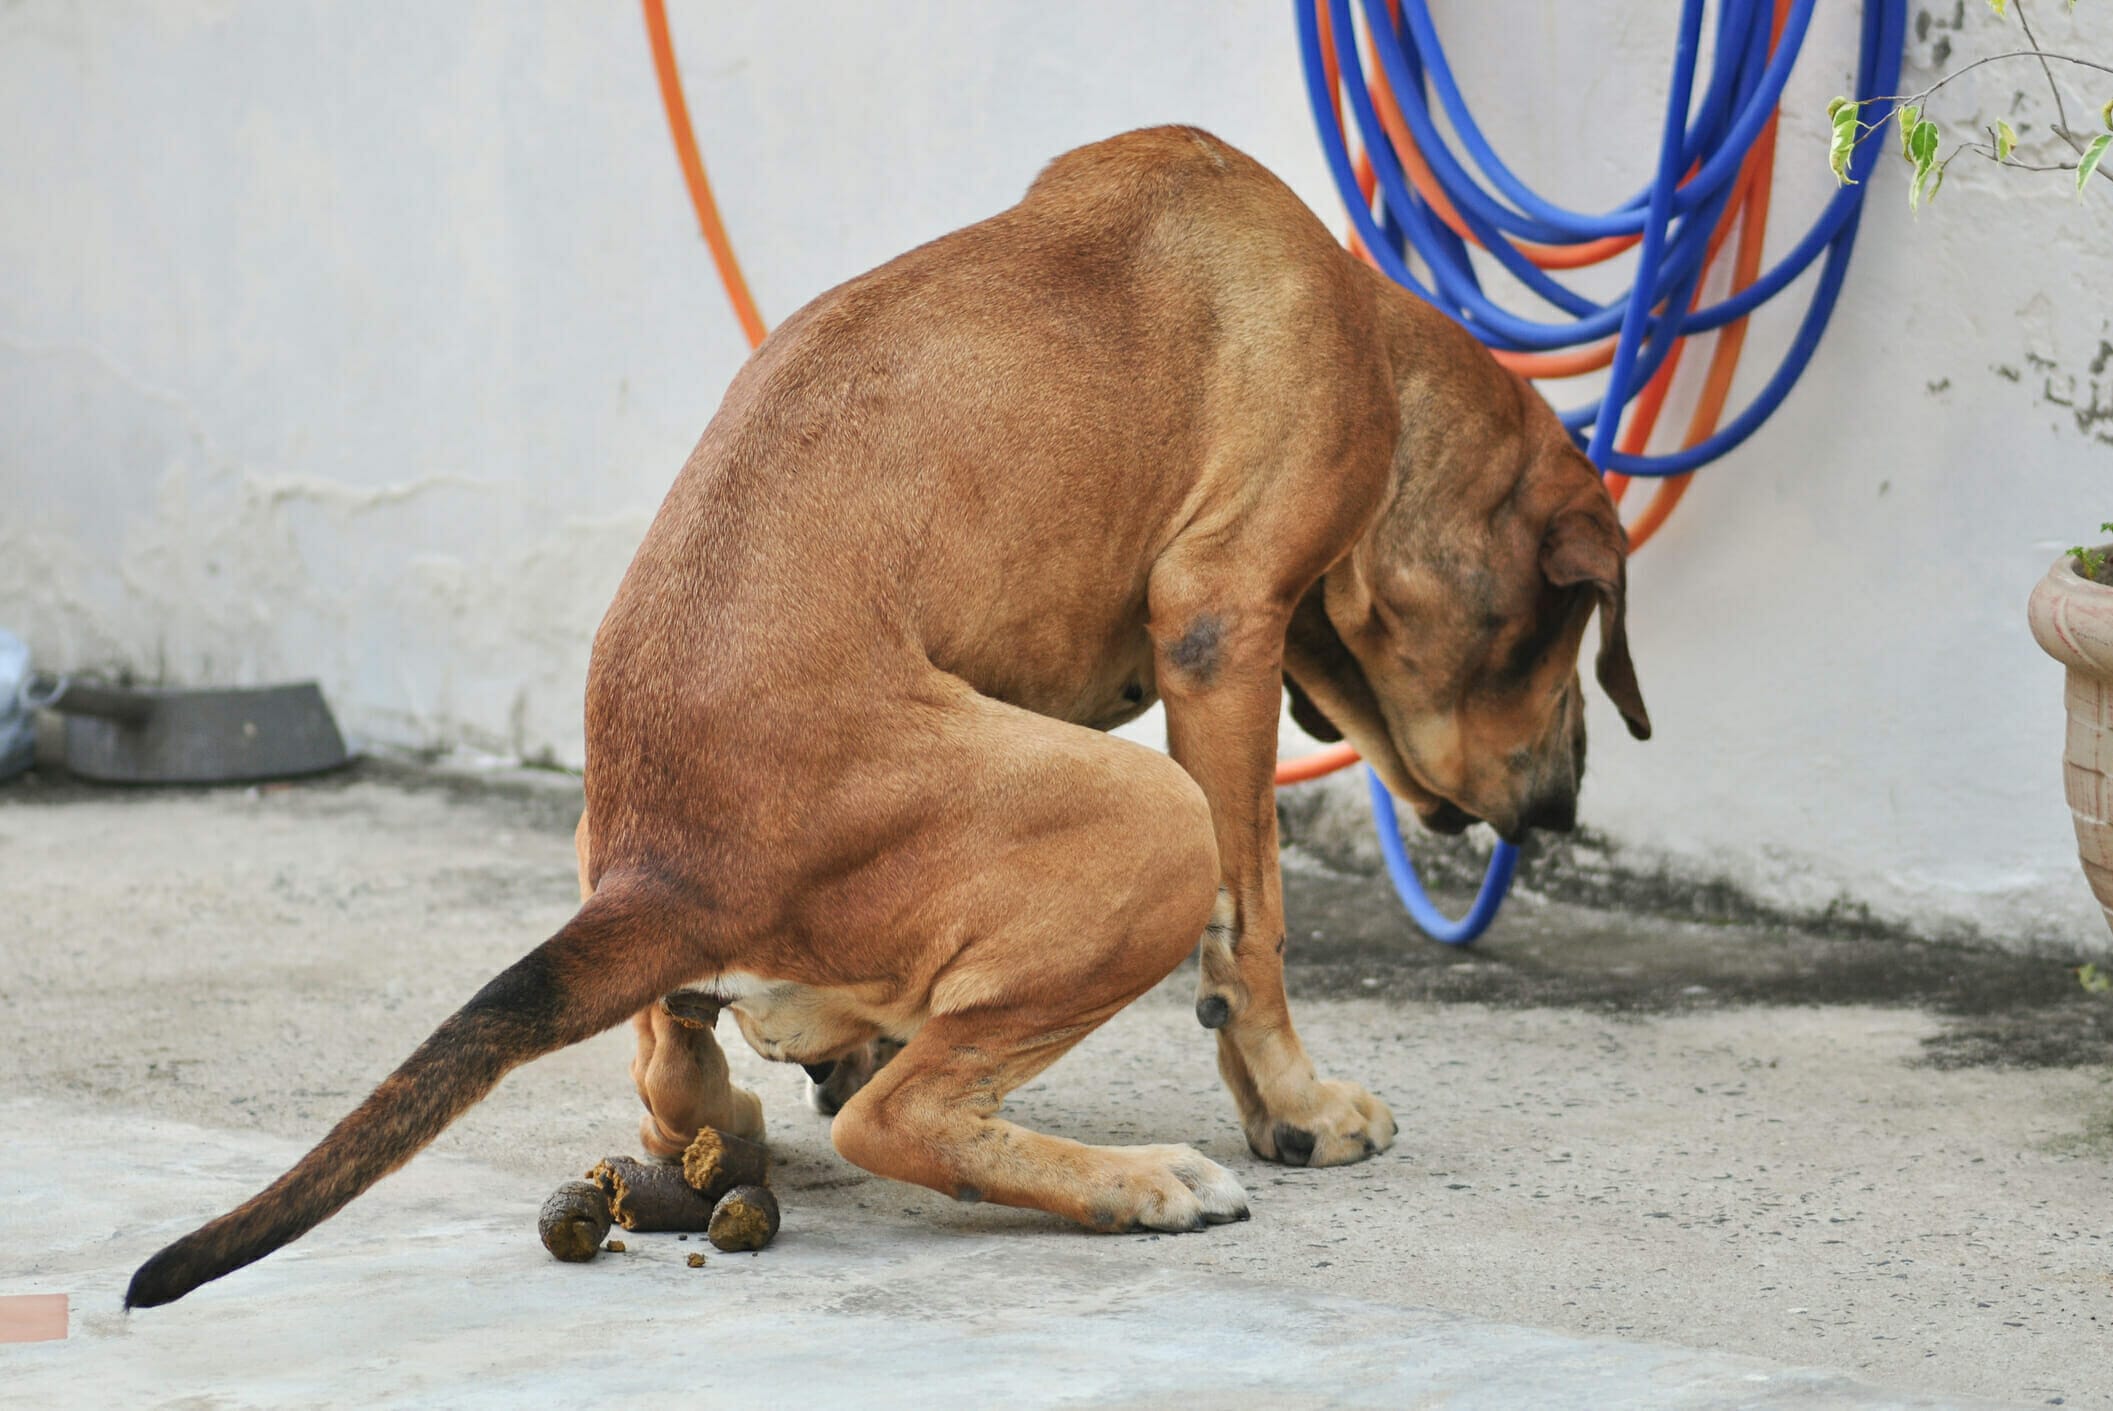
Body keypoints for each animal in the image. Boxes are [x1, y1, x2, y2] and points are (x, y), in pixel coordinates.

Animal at [127, 126, 1648, 1309]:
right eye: (1568, 629)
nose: (1567, 808)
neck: (1374, 340)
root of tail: (666, 867)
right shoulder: (1222, 630)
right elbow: (1256, 927)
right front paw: (1296, 1105)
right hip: (1148, 816)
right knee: (896, 1117)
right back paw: (1137, 1181)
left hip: (611, 861)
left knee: (675, 1071)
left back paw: (761, 1087)